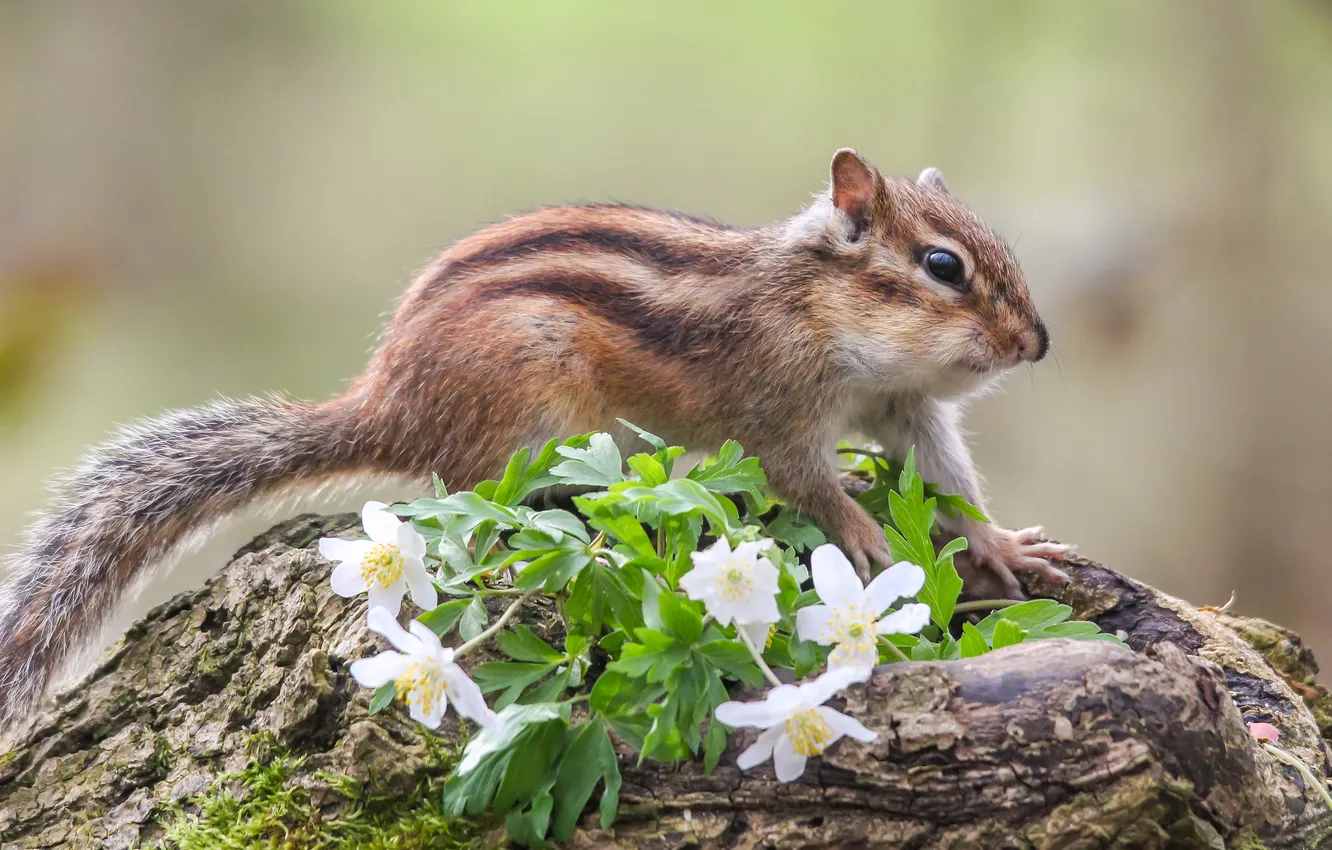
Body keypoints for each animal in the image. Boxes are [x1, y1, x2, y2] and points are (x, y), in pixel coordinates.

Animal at [0, 148, 1072, 729]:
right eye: (943, 266)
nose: (1038, 343)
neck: (821, 310)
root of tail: (384, 402)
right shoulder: (778, 407)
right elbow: (804, 481)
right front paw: (865, 534)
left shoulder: (907, 410)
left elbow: (948, 478)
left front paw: (1003, 545)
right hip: (530, 408)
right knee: (477, 492)